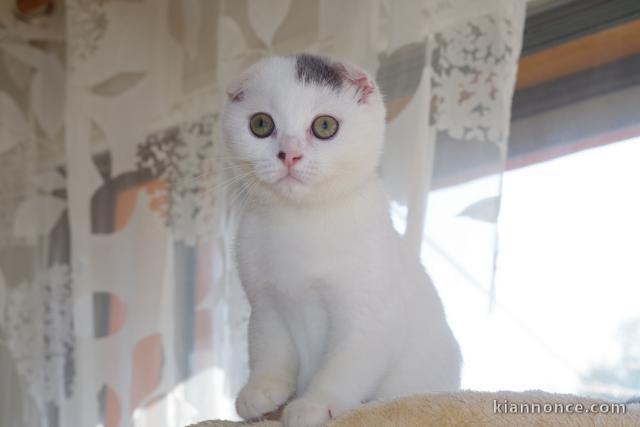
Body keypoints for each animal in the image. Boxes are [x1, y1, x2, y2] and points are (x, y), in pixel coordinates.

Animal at [222, 54, 462, 427]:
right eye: (261, 124)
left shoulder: (370, 311)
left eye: (324, 126)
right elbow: (267, 347)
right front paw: (261, 390)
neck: (299, 222)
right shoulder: (264, 303)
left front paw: (316, 403)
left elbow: (346, 364)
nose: (289, 154)